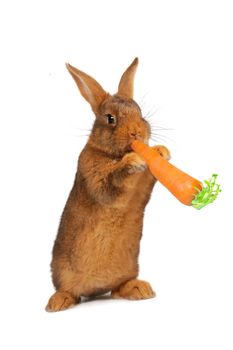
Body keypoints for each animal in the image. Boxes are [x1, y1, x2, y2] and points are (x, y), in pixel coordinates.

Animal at [45, 57, 170, 312]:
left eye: (139, 111)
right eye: (110, 119)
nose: (137, 133)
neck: (112, 154)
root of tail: (96, 290)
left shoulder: (143, 186)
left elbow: (148, 178)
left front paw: (161, 151)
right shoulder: (95, 177)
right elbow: (112, 180)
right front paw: (132, 161)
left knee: (118, 288)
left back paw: (140, 289)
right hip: (62, 273)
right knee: (68, 291)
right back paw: (57, 303)